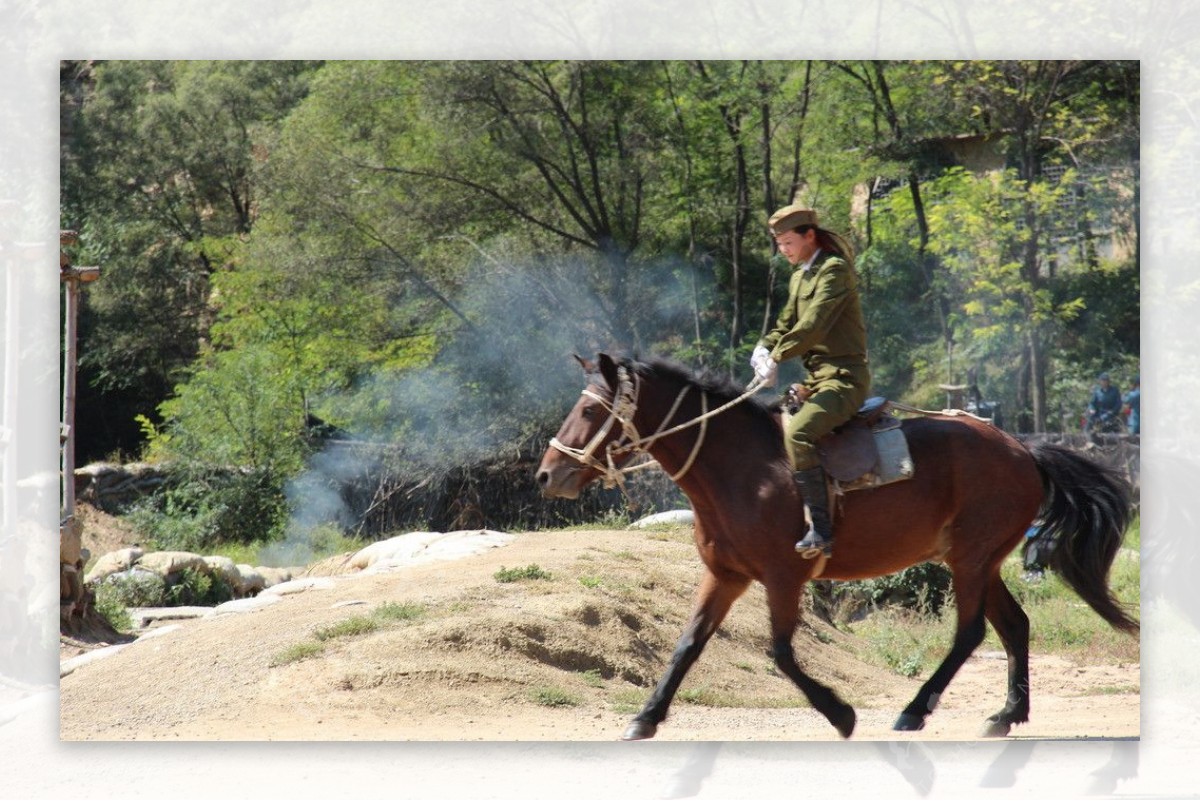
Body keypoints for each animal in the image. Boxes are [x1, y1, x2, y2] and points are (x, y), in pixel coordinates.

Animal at [540, 352, 1137, 743]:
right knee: (1014, 626)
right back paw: (1007, 714)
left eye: (590, 412)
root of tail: (1023, 450)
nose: (547, 474)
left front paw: (839, 712)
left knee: (970, 633)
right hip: (978, 563)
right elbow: (688, 644)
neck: (740, 469)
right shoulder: (725, 576)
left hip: (971, 561)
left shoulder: (784, 578)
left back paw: (915, 710)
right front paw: (647, 715)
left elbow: (780, 653)